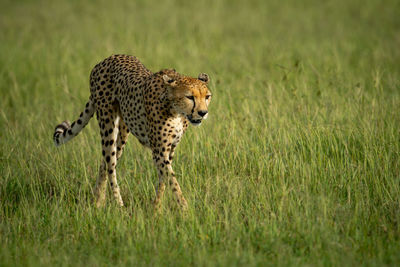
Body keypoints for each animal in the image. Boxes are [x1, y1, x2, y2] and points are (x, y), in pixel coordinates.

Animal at [53, 54, 212, 209]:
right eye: (189, 97)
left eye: (207, 97)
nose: (203, 113)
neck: (176, 110)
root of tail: (107, 59)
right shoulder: (159, 151)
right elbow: (172, 180)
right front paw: (185, 209)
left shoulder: (170, 149)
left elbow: (163, 180)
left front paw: (156, 209)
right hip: (107, 125)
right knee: (110, 165)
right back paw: (119, 206)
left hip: (122, 133)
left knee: (105, 163)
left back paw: (98, 201)